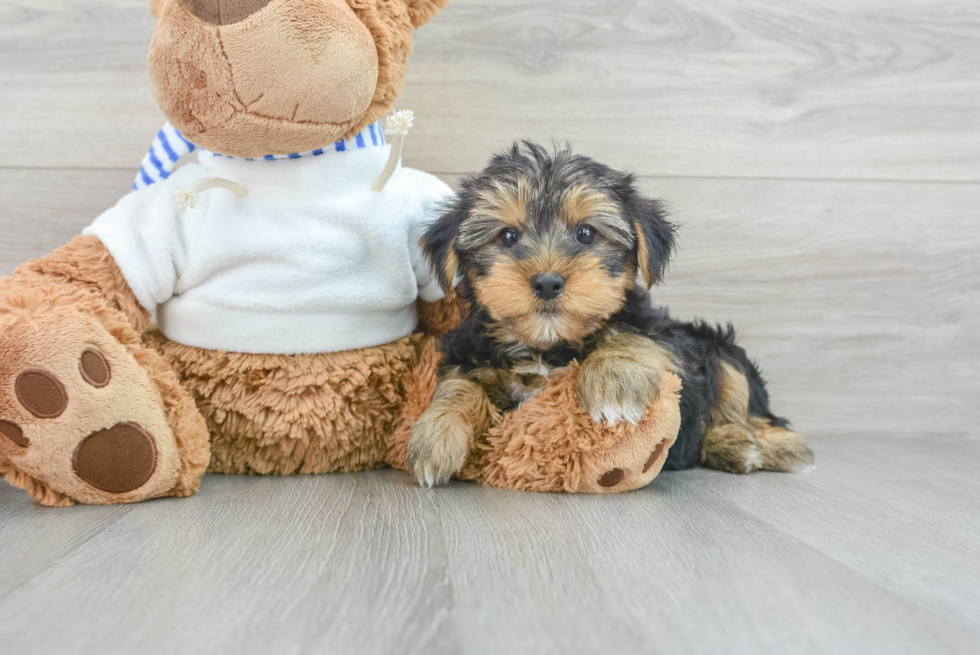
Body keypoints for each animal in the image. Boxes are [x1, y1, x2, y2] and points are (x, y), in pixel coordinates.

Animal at [406, 145, 812, 492]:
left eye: (586, 233)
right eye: (507, 236)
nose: (547, 281)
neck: (548, 344)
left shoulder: (666, 337)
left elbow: (628, 329)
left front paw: (612, 383)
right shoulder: (468, 352)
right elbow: (459, 385)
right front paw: (435, 435)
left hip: (719, 347)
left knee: (741, 403)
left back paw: (758, 445)